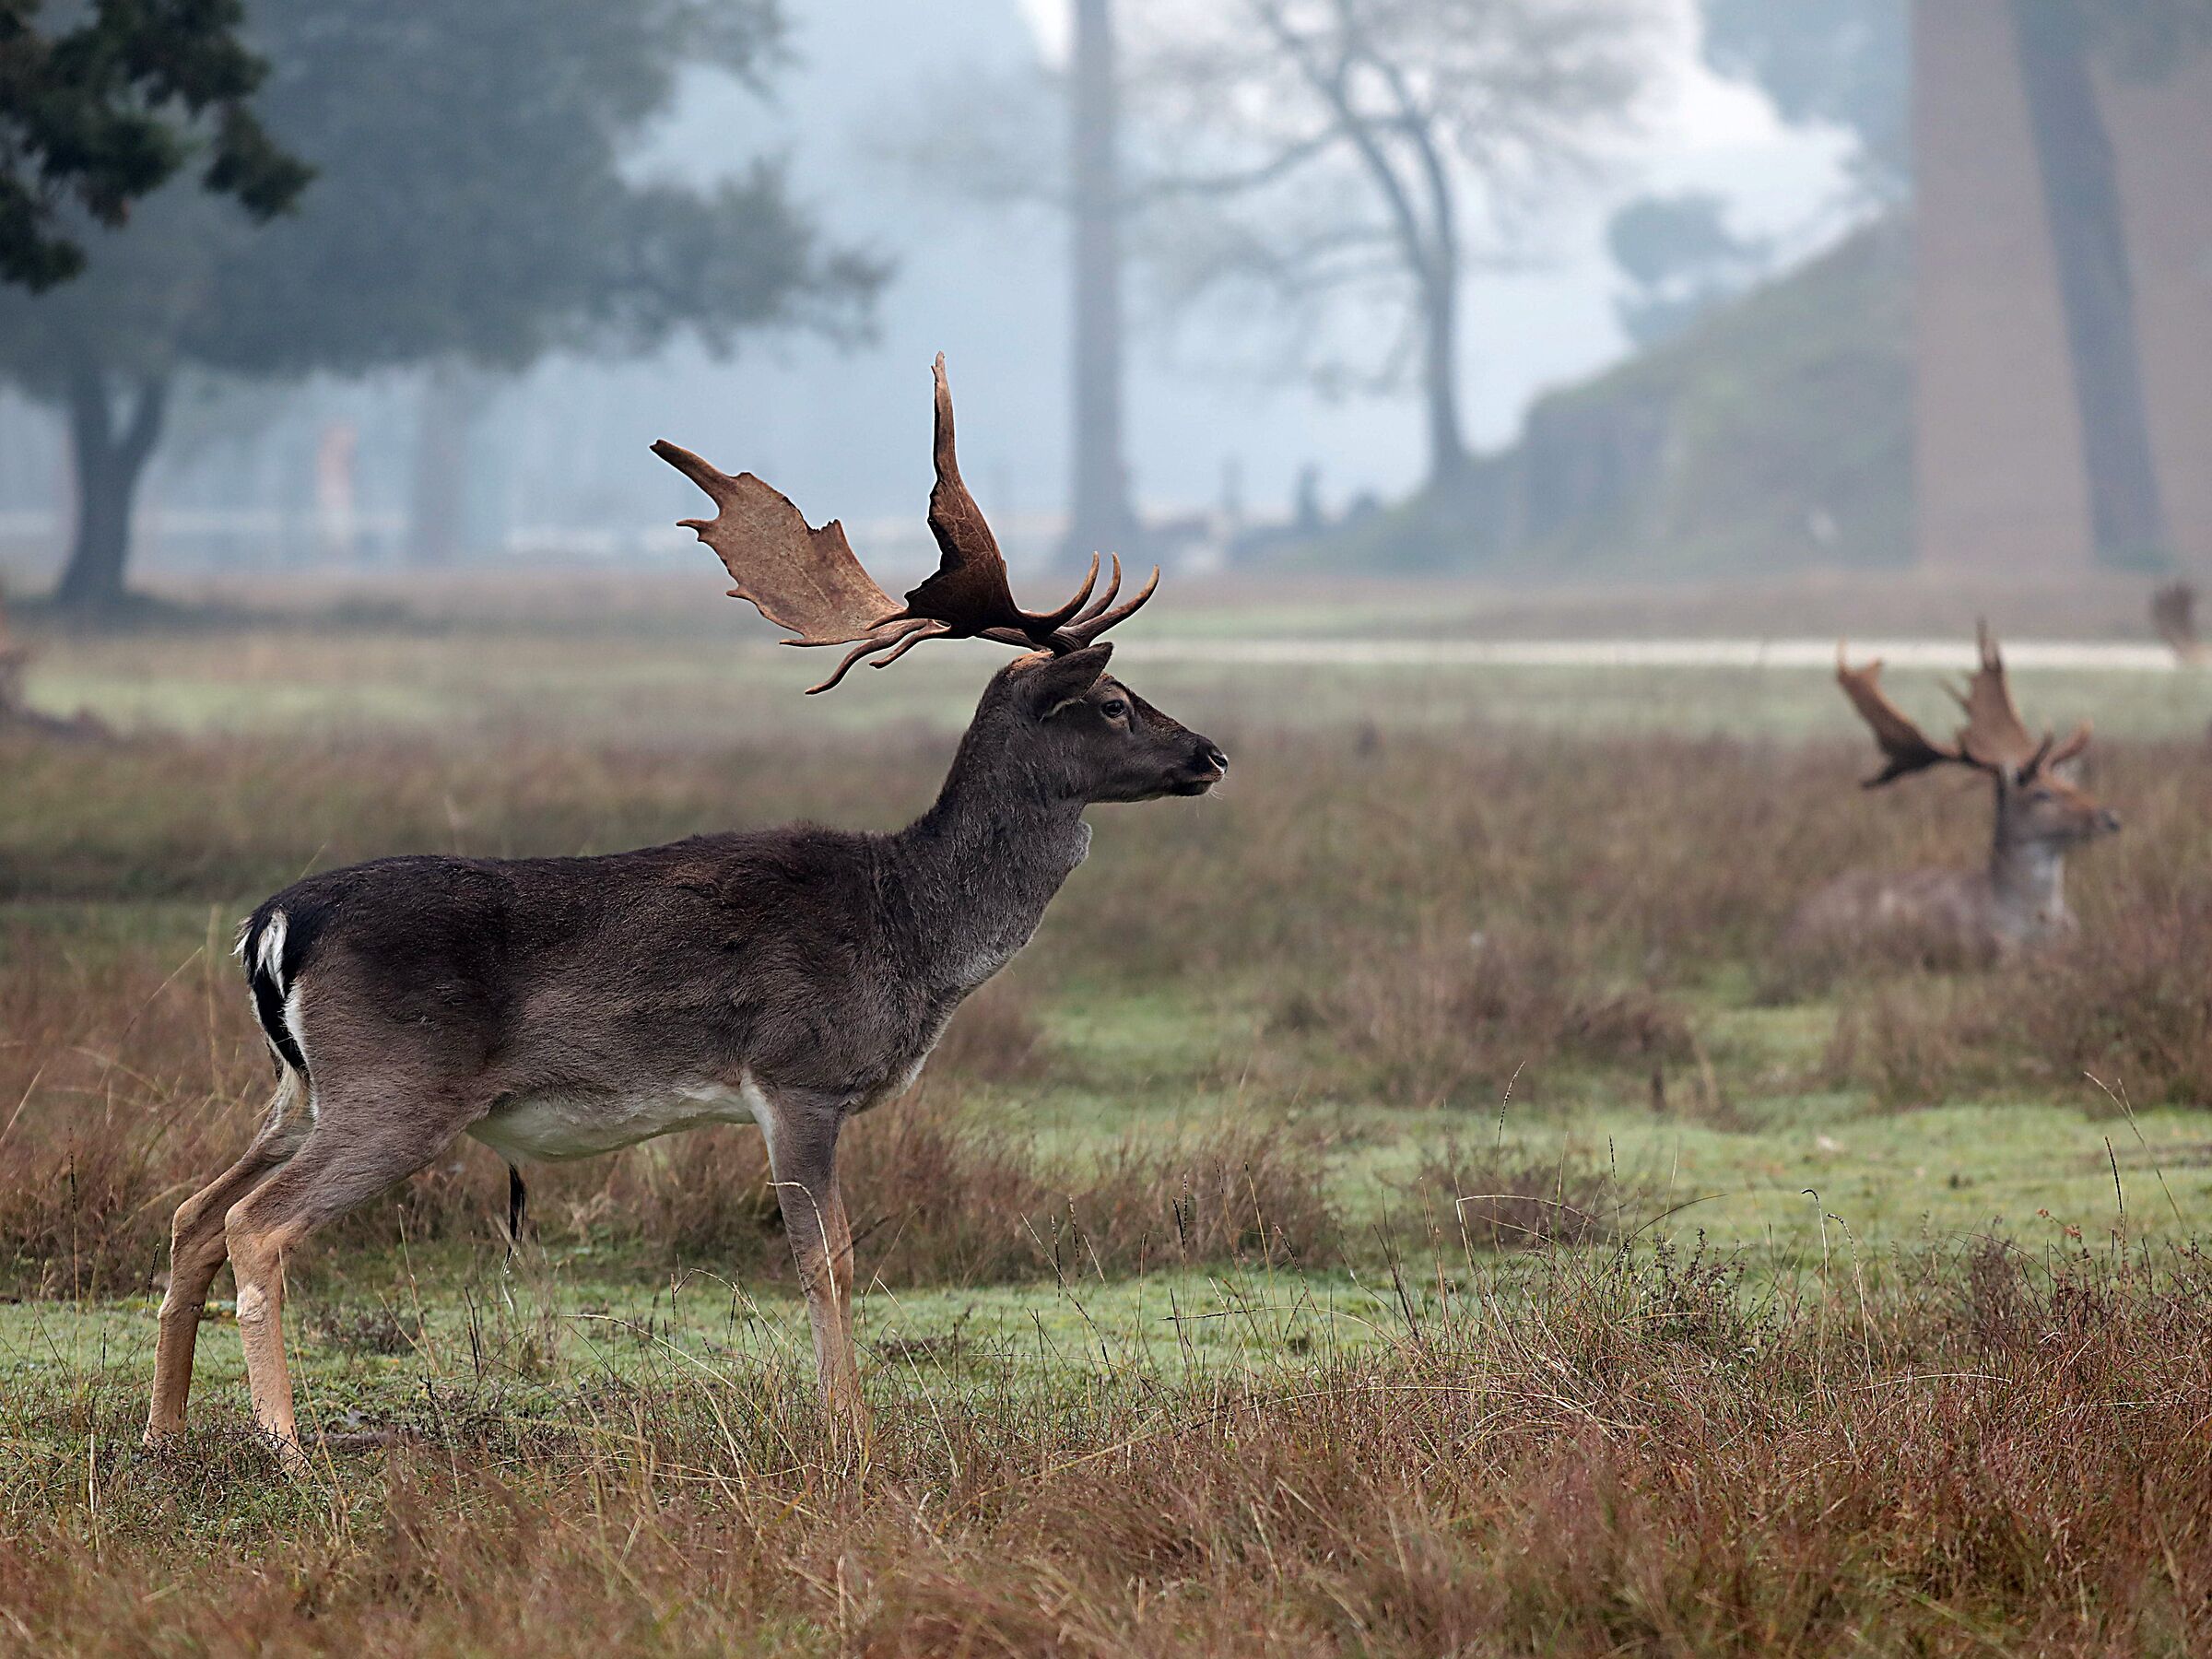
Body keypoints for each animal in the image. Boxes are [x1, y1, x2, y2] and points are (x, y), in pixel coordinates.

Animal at [144, 356, 1227, 1465]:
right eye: (1114, 705)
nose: (1211, 754)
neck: (911, 935)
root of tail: (272, 929)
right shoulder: (799, 1074)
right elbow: (828, 1259)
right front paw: (849, 1430)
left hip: (299, 1086)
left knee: (191, 1213)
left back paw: (164, 1432)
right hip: (395, 1087)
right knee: (255, 1224)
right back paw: (284, 1443)